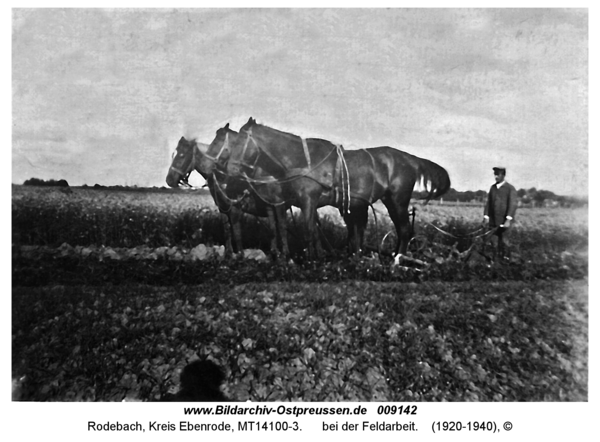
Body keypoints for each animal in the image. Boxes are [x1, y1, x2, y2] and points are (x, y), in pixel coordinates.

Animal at [168, 129, 292, 258]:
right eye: (175, 154)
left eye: (182, 155)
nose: (169, 180)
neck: (223, 176)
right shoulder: (223, 208)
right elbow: (227, 229)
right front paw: (228, 253)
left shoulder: (235, 207)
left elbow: (237, 231)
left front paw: (241, 254)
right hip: (270, 206)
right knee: (273, 227)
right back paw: (274, 252)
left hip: (278, 204)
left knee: (281, 225)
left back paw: (284, 254)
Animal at [225, 117, 450, 258]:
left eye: (241, 142)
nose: (230, 169)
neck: (302, 160)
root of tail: (410, 159)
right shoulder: (301, 203)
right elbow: (312, 231)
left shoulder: (308, 200)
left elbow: (309, 231)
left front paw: (312, 260)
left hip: (397, 201)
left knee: (403, 229)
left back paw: (398, 260)